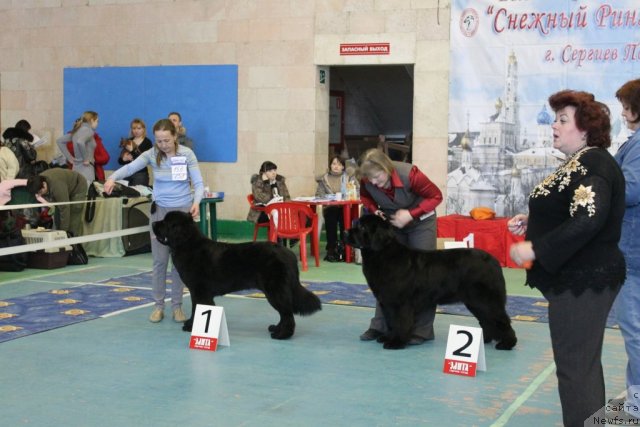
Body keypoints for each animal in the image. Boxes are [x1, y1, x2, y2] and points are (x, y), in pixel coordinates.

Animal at [151, 211, 320, 342]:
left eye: (166, 222)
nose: (153, 223)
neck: (188, 244)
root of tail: (289, 254)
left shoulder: (199, 291)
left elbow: (197, 308)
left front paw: (192, 326)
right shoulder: (197, 291)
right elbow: (196, 307)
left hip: (274, 290)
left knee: (287, 313)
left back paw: (281, 335)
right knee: (284, 313)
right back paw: (275, 329)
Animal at [348, 214, 516, 352]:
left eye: (362, 227)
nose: (345, 232)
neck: (382, 254)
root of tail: (493, 261)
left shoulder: (401, 302)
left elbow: (400, 322)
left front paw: (396, 342)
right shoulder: (387, 302)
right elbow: (390, 321)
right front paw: (388, 337)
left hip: (486, 300)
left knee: (501, 319)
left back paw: (507, 344)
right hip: (475, 302)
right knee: (487, 321)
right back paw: (485, 340)